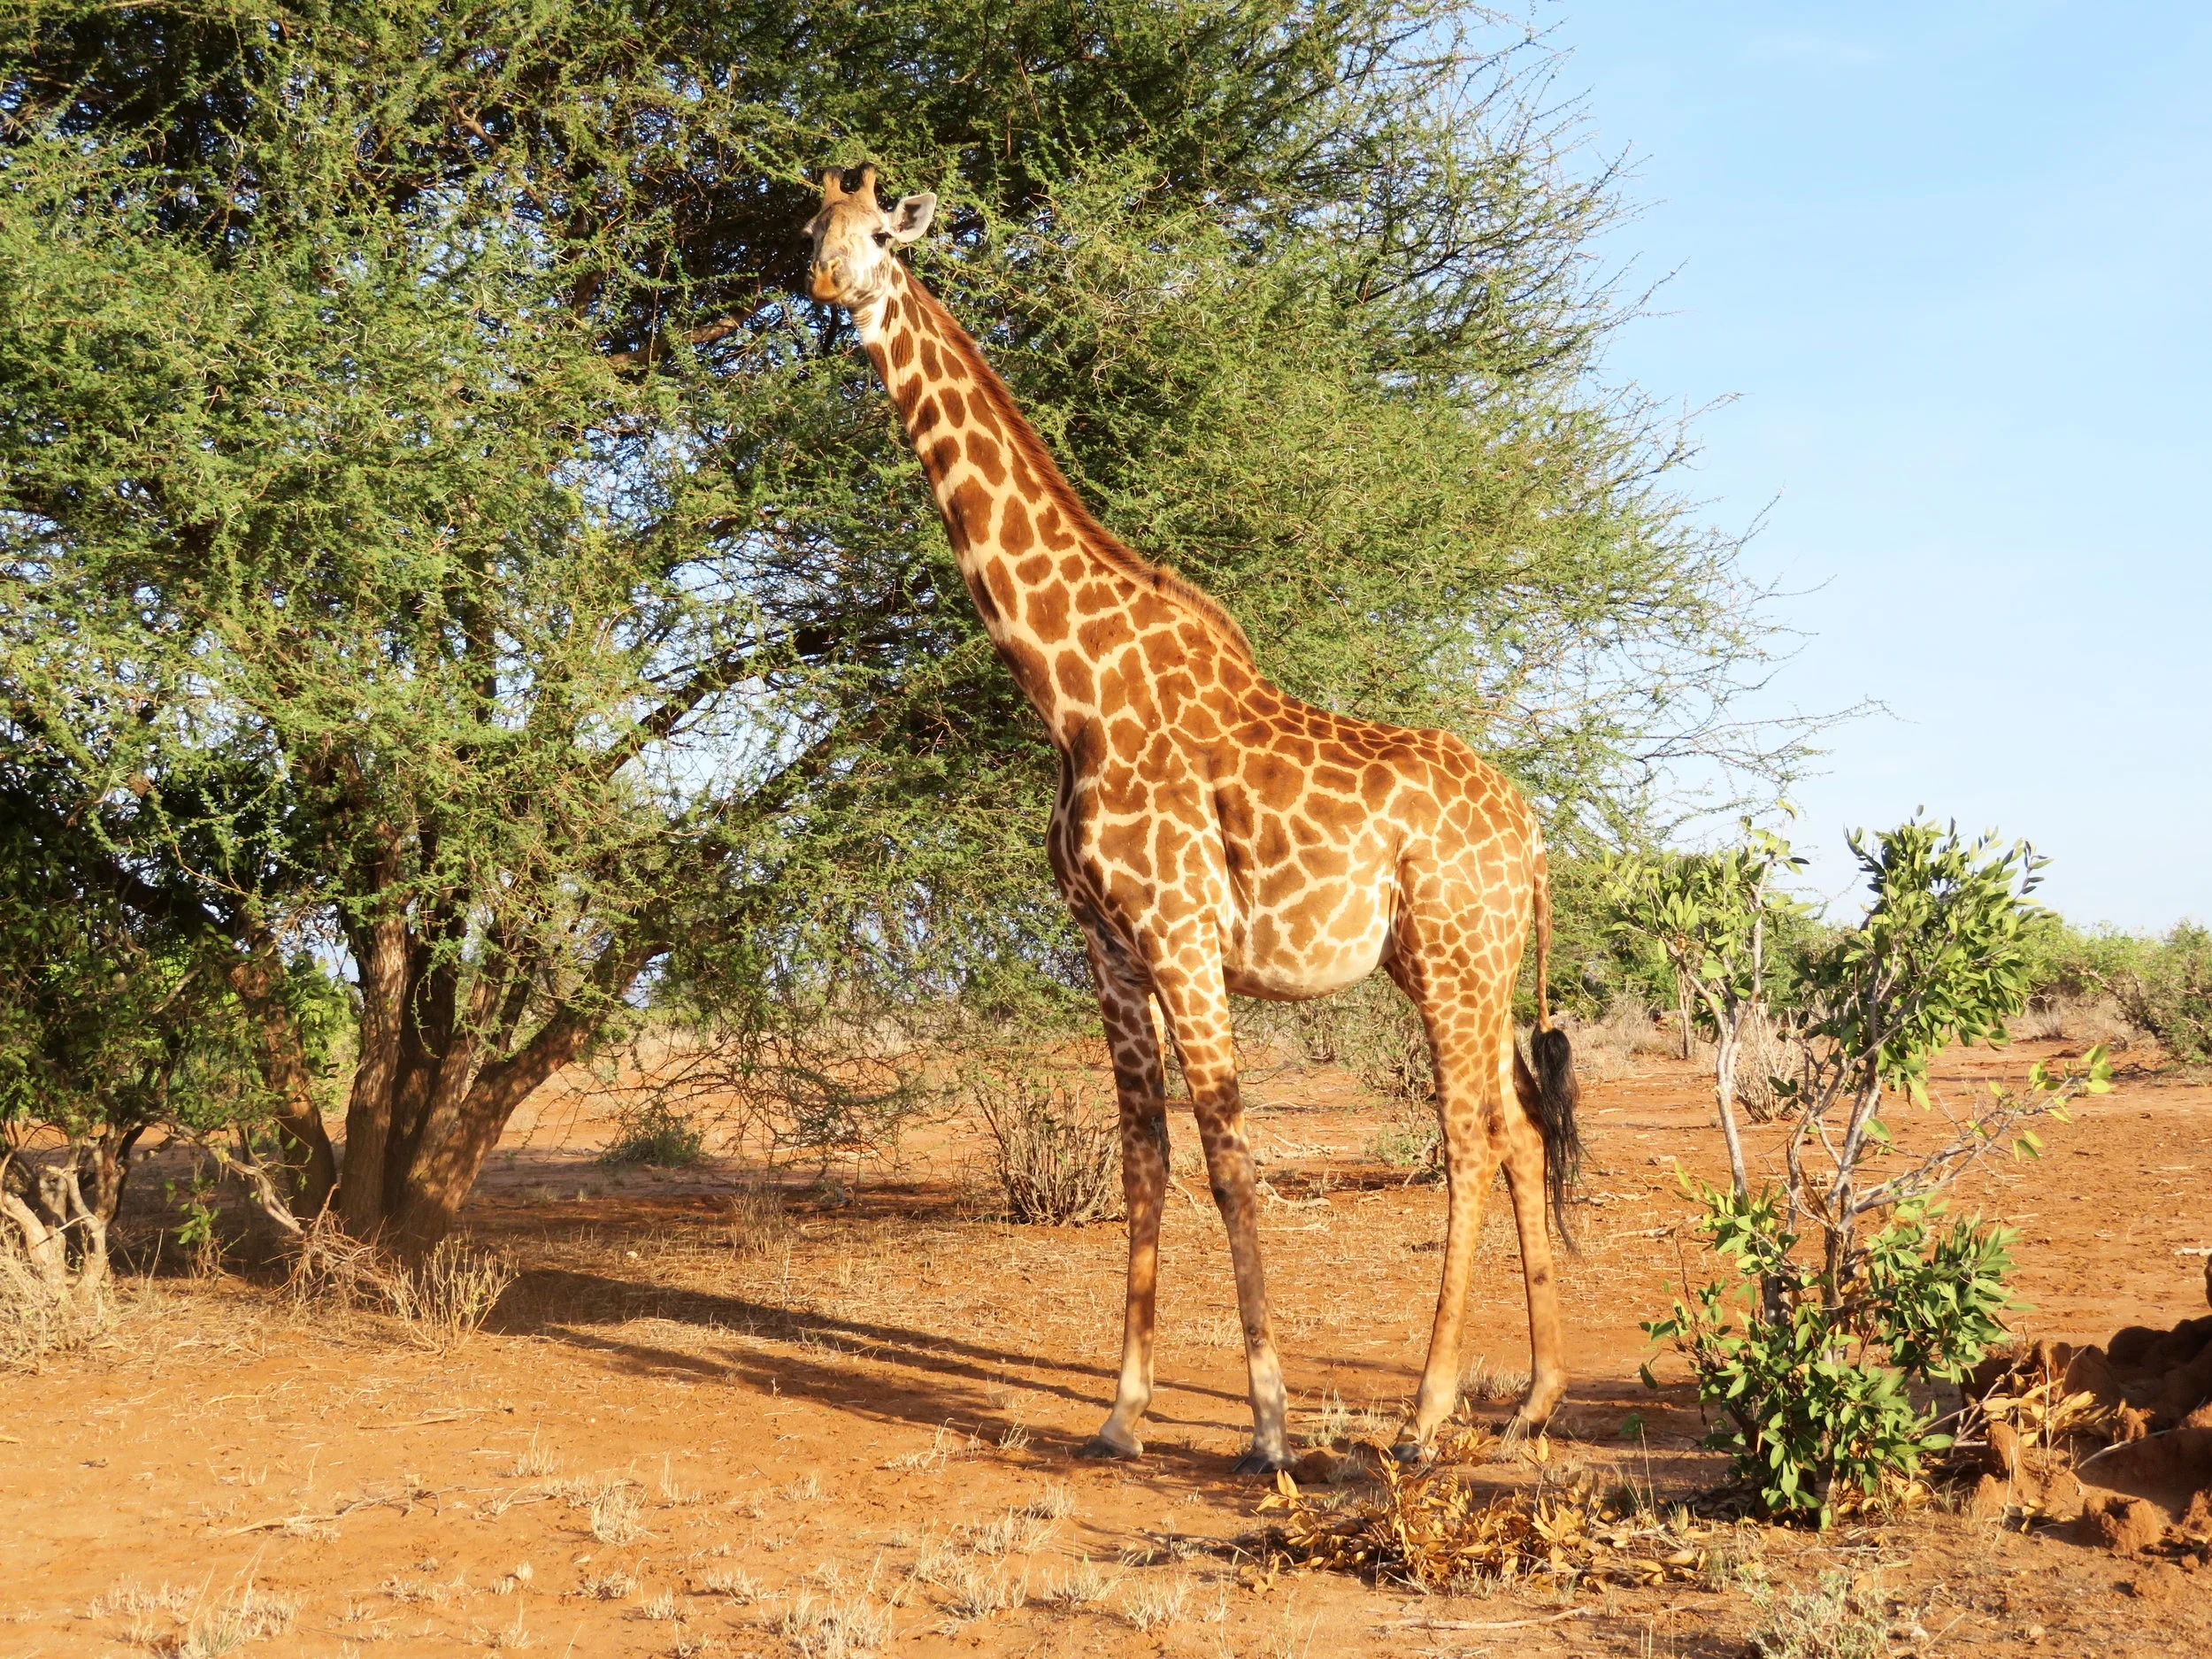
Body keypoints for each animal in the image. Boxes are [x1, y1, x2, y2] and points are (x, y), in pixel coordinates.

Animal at [803, 164, 1582, 1472]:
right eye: (810, 227)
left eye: (879, 235)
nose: (823, 285)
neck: (1070, 690)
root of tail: (1531, 835)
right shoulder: (1107, 946)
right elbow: (1143, 1158)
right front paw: (1121, 1411)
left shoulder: (1179, 931)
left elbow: (1227, 1159)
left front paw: (1266, 1426)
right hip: (1449, 963)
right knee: (1519, 1133)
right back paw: (1530, 1399)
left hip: (1454, 954)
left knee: (1472, 1138)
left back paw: (1426, 1416)